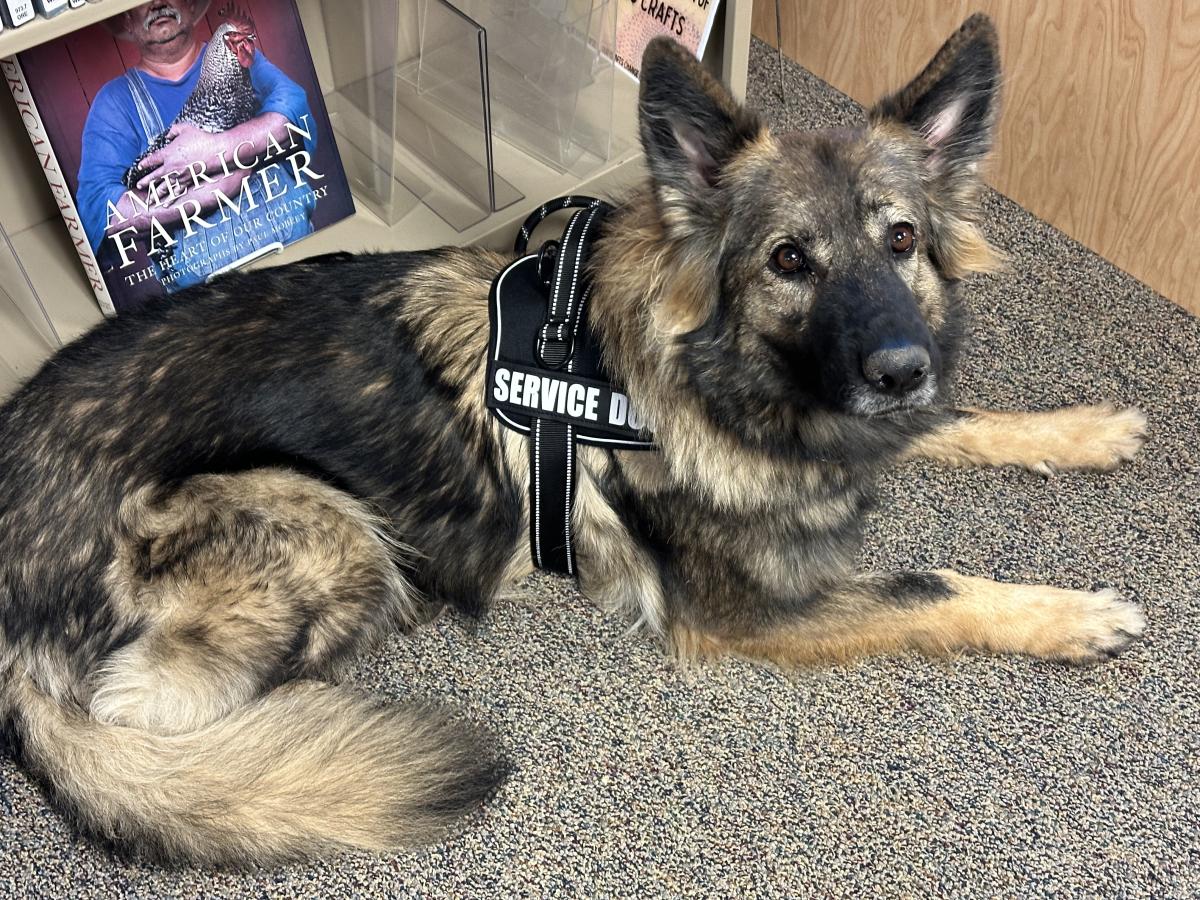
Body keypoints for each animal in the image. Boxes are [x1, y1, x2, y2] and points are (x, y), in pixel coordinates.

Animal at [0, 15, 1142, 868]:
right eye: (788, 260)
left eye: (901, 238)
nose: (904, 368)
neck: (709, 375)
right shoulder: (752, 610)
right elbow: (930, 584)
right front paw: (1070, 613)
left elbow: (962, 425)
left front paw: (1080, 428)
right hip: (325, 526)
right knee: (143, 711)